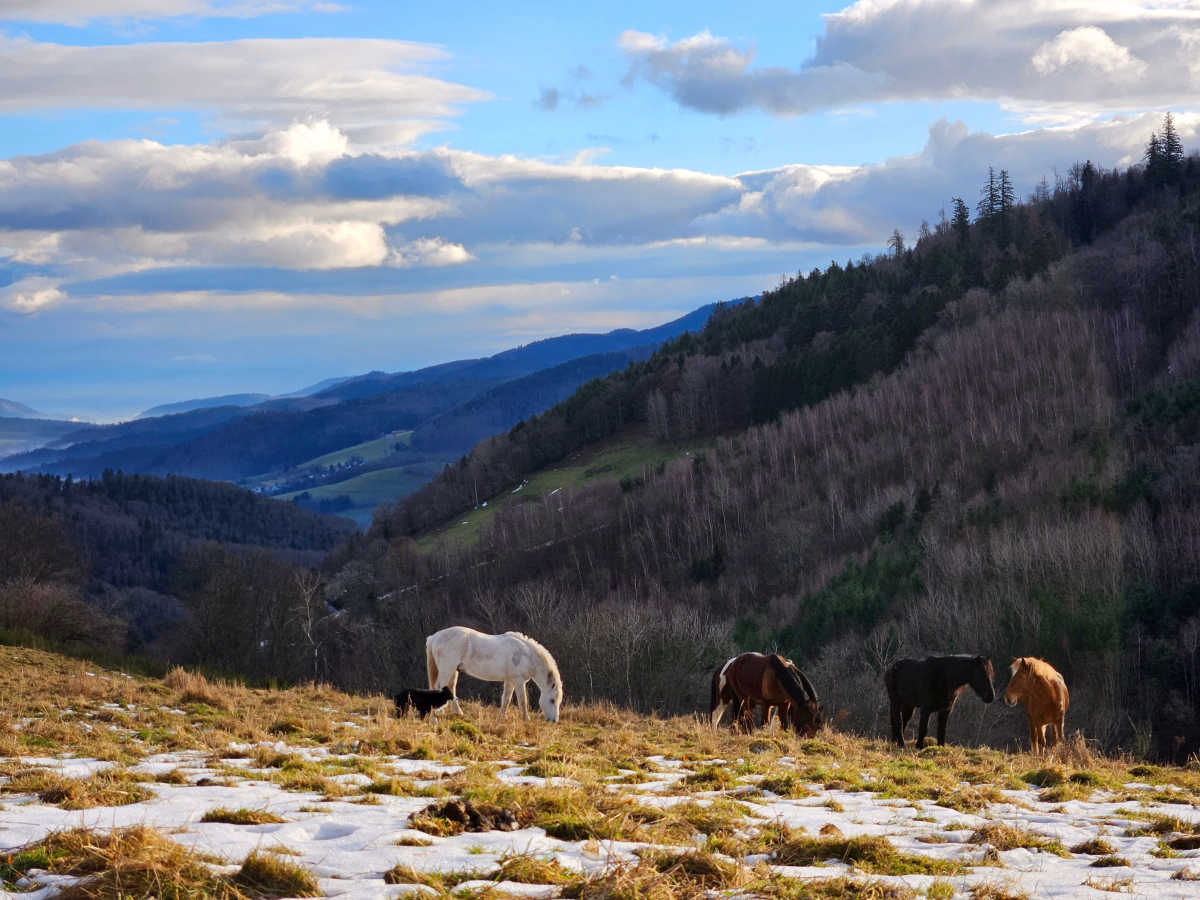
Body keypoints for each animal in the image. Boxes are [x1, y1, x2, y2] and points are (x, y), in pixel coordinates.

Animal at [425, 626, 563, 722]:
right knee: (438, 687)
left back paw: (457, 712)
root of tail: (434, 637)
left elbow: (506, 699)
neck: (526, 655)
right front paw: (526, 719)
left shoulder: (510, 681)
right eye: (552, 700)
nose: (554, 720)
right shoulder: (518, 681)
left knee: (451, 688)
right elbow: (523, 700)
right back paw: (439, 712)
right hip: (447, 669)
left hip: (453, 670)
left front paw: (502, 716)